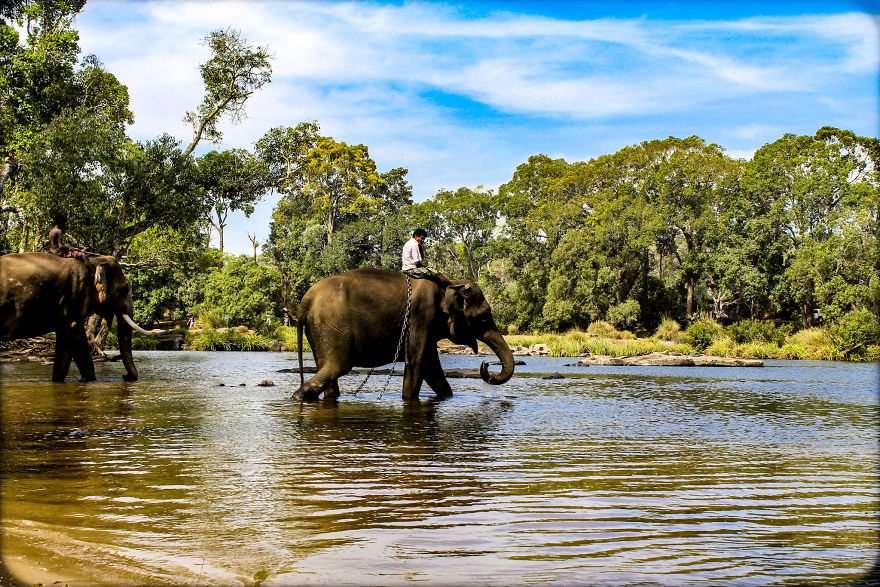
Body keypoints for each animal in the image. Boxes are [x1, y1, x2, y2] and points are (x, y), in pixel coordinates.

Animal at [0, 252, 152, 382]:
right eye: (125, 289)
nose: (125, 376)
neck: (92, 262)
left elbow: (75, 337)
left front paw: (83, 379)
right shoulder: (74, 293)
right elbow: (73, 332)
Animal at [293, 268, 515, 401]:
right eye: (484, 317)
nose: (486, 365)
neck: (451, 283)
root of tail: (305, 301)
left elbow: (432, 368)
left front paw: (447, 397)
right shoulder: (422, 314)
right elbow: (417, 361)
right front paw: (408, 400)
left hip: (319, 330)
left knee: (327, 371)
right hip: (332, 328)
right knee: (338, 366)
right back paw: (298, 397)